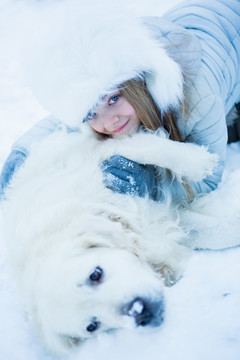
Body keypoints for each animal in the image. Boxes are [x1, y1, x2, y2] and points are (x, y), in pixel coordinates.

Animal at [1, 128, 238, 356]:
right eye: (92, 326)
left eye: (95, 274)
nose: (140, 312)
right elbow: (214, 232)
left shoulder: (97, 166)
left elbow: (146, 149)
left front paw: (201, 161)